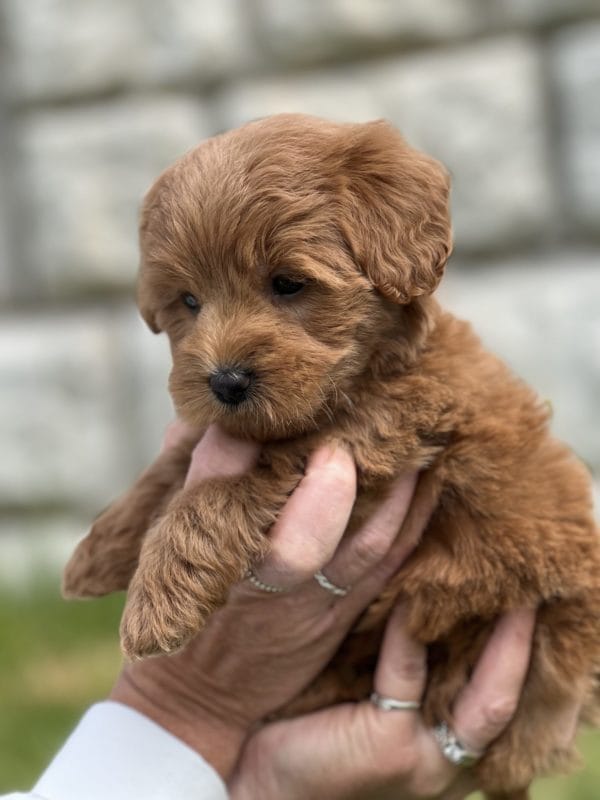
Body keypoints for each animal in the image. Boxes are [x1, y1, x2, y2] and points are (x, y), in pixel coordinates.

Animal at [62, 114, 600, 800]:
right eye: (188, 302)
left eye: (288, 284)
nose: (224, 382)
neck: (368, 372)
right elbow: (175, 459)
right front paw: (97, 552)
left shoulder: (368, 443)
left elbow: (212, 493)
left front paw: (157, 603)